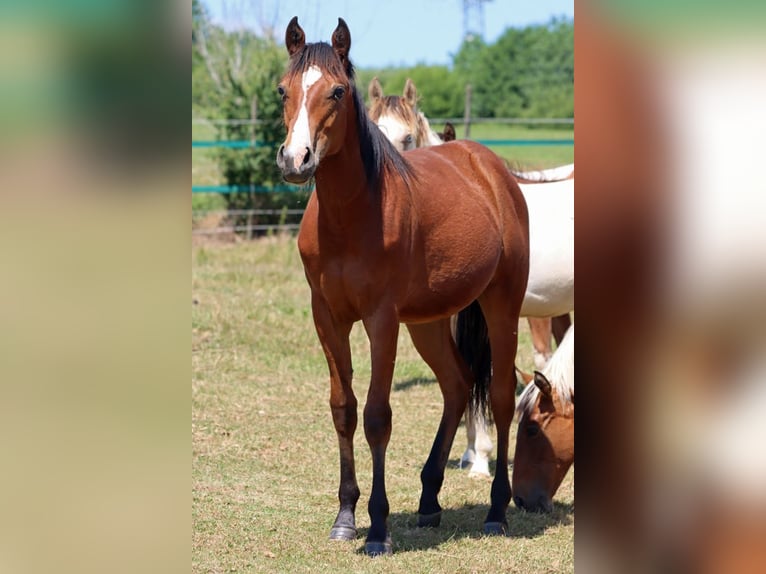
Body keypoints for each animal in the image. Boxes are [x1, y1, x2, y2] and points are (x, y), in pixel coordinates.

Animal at [276, 17, 530, 556]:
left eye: (336, 91)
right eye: (283, 90)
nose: (295, 159)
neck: (350, 216)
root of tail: (489, 167)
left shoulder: (381, 320)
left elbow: (377, 415)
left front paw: (377, 528)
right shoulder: (326, 316)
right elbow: (344, 409)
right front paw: (345, 517)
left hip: (501, 304)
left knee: (500, 396)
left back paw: (497, 511)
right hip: (430, 322)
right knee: (457, 385)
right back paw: (430, 500)